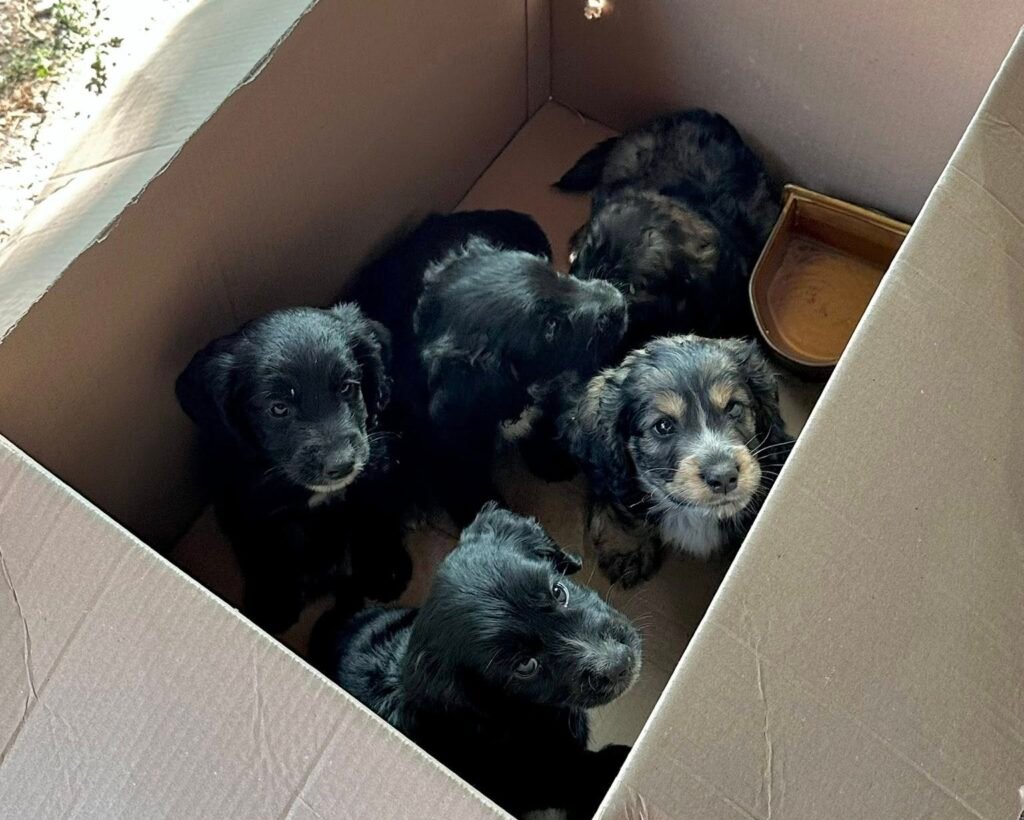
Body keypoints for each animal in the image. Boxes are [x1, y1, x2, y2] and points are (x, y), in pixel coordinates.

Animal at [176, 303, 411, 632]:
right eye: (278, 408)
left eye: (347, 387)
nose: (342, 464)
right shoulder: (243, 507)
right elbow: (260, 552)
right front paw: (273, 603)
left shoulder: (378, 472)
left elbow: (375, 516)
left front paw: (384, 568)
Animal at [357, 211, 628, 524]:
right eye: (551, 327)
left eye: (556, 274)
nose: (620, 302)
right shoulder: (449, 455)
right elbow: (474, 497)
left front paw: (549, 459)